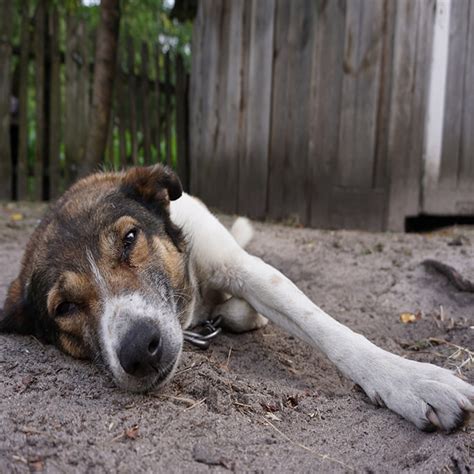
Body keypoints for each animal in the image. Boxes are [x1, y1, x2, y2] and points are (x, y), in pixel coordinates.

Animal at [0, 165, 474, 432]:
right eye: (64, 308)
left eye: (130, 238)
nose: (140, 349)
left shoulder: (240, 266)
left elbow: (328, 330)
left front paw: (410, 381)